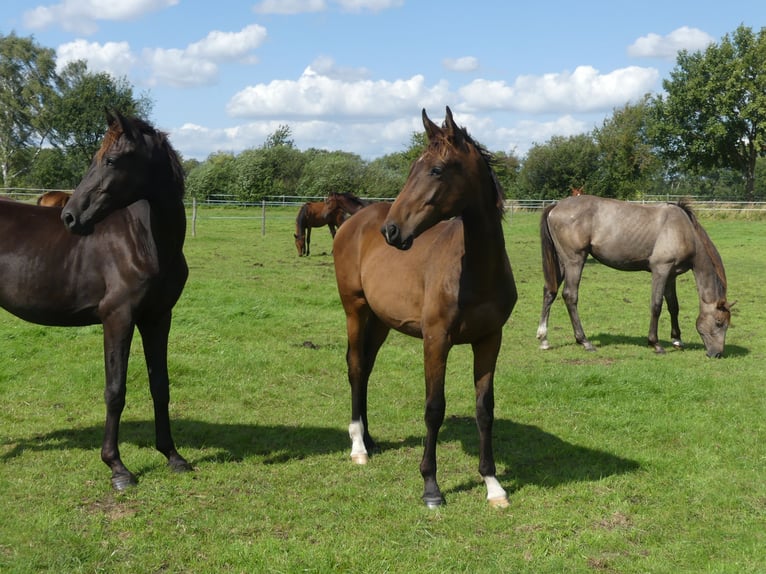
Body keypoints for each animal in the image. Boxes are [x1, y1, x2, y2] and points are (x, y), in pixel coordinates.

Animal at [0, 110, 192, 492]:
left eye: (111, 160)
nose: (70, 217)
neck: (145, 242)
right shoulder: (118, 318)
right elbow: (115, 391)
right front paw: (117, 468)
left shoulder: (158, 317)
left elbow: (160, 385)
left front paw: (172, 455)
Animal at [334, 108, 520, 508]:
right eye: (412, 168)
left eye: (436, 169)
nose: (392, 231)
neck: (474, 272)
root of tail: (356, 219)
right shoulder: (436, 341)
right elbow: (434, 408)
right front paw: (431, 486)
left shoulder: (489, 340)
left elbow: (485, 409)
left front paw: (493, 484)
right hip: (355, 310)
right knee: (355, 367)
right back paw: (358, 447)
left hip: (380, 321)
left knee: (366, 368)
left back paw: (369, 438)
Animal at [536, 198, 736, 360]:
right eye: (719, 322)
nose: (717, 354)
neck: (683, 230)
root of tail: (556, 206)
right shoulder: (660, 270)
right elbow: (656, 305)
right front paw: (655, 344)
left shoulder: (671, 275)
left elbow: (673, 306)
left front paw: (677, 340)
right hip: (575, 260)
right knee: (570, 296)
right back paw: (584, 341)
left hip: (562, 262)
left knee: (550, 291)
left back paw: (544, 339)